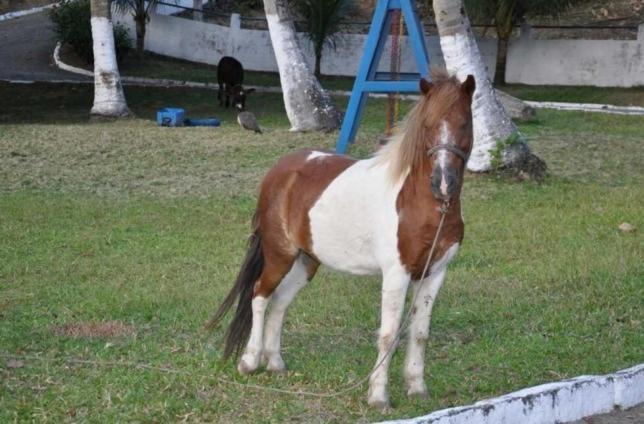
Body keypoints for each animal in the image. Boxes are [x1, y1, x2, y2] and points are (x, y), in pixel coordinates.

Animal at [209, 71, 476, 410]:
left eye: (465, 123)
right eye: (427, 125)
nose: (443, 182)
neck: (421, 204)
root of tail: (279, 171)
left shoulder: (435, 274)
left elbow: (420, 333)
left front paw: (417, 388)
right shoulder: (396, 274)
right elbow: (389, 334)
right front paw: (378, 396)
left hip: (307, 262)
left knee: (280, 302)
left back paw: (275, 363)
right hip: (279, 254)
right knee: (260, 295)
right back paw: (250, 361)